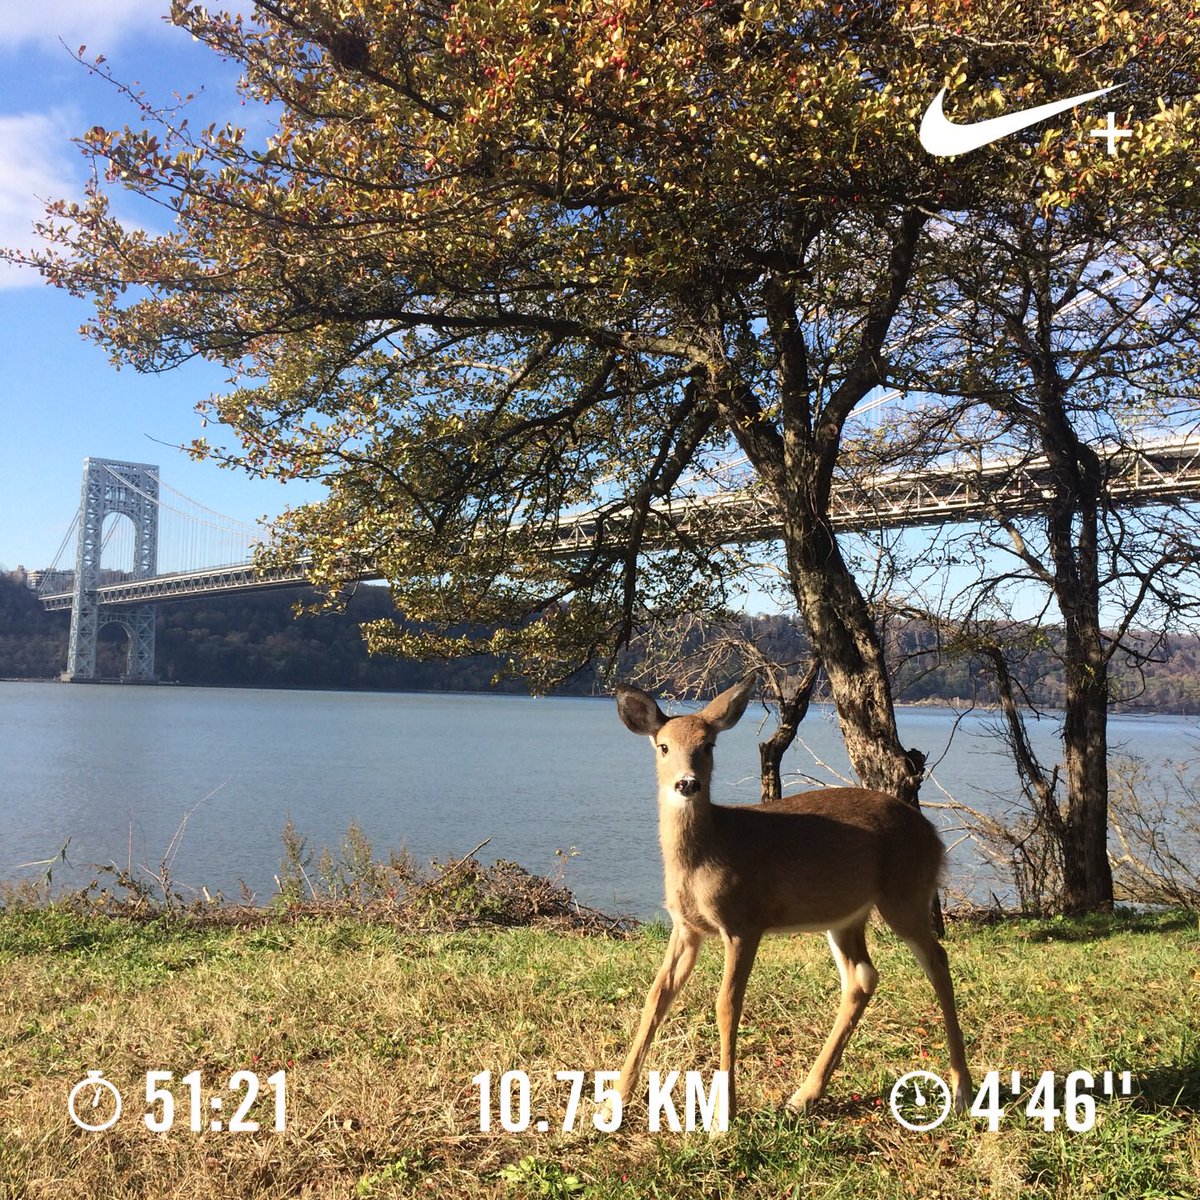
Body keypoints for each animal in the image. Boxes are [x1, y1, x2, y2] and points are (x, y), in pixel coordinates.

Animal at [612, 677, 972, 1121]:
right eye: (663, 746)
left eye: (708, 745)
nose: (687, 783)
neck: (709, 851)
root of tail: (934, 836)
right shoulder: (686, 927)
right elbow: (656, 997)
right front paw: (614, 1100)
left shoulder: (744, 920)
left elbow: (727, 1006)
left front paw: (724, 1115)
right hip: (846, 915)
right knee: (862, 977)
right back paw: (804, 1096)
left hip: (906, 892)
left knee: (937, 960)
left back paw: (962, 1089)